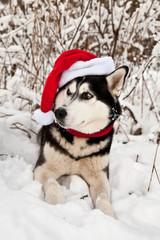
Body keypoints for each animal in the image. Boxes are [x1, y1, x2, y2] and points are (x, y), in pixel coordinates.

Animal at [33, 66, 129, 218]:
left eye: (87, 95)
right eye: (68, 92)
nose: (59, 112)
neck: (79, 138)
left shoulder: (99, 176)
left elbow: (103, 197)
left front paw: (107, 216)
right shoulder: (43, 167)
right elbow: (52, 183)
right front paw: (57, 205)